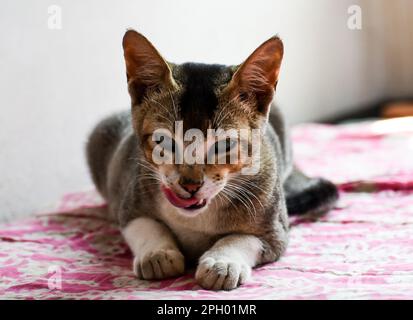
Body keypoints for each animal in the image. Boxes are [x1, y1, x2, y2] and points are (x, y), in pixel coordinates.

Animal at [87, 30, 338, 290]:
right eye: (164, 141)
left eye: (224, 145)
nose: (190, 185)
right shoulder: (129, 201)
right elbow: (142, 224)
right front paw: (157, 253)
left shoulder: (276, 231)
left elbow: (243, 238)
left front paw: (223, 262)